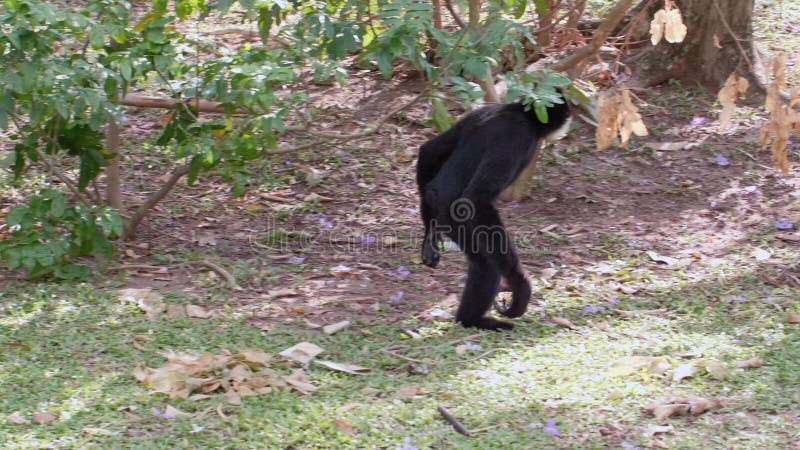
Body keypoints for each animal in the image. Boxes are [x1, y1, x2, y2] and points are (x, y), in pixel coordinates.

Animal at [416, 94, 572, 330]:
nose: (569, 118)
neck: (515, 111)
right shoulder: (519, 135)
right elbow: (477, 199)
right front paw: (520, 286)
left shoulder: (476, 114)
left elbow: (428, 151)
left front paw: (430, 238)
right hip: (456, 219)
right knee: (486, 264)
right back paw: (471, 319)